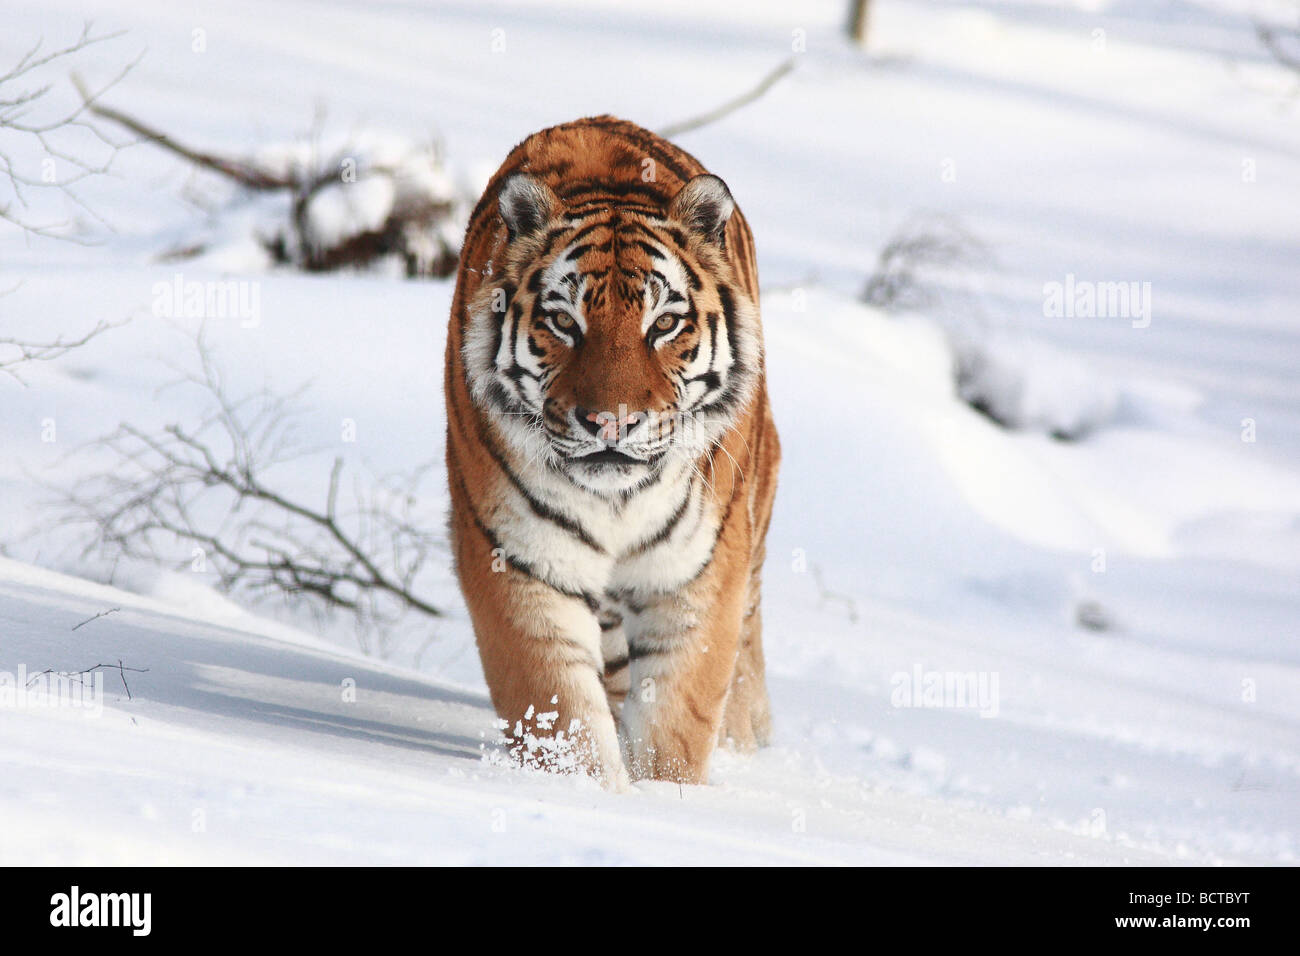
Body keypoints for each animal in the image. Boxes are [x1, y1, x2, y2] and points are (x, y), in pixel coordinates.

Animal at [444, 115, 780, 788]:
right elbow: (560, 712)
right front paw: (593, 795)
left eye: (664, 325)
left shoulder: (697, 577)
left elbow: (677, 723)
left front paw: (663, 799)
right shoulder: (521, 563)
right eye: (564, 322)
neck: (620, 500)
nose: (611, 423)